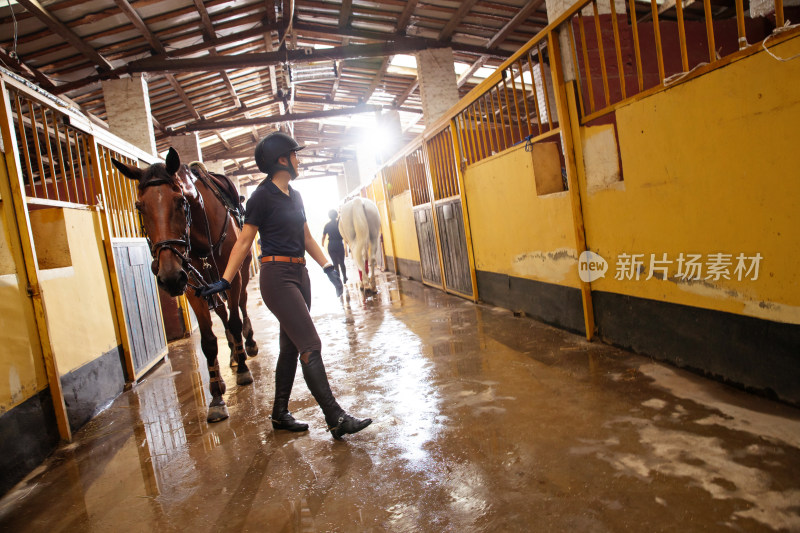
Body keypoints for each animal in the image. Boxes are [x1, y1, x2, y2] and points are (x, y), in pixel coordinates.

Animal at [111, 148, 256, 422]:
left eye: (180, 201)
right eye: (139, 207)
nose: (167, 276)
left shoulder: (232, 278)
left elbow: (235, 319)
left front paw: (243, 369)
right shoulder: (191, 286)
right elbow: (208, 340)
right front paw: (216, 395)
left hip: (241, 270)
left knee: (241, 306)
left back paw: (247, 346)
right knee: (221, 312)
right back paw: (233, 352)